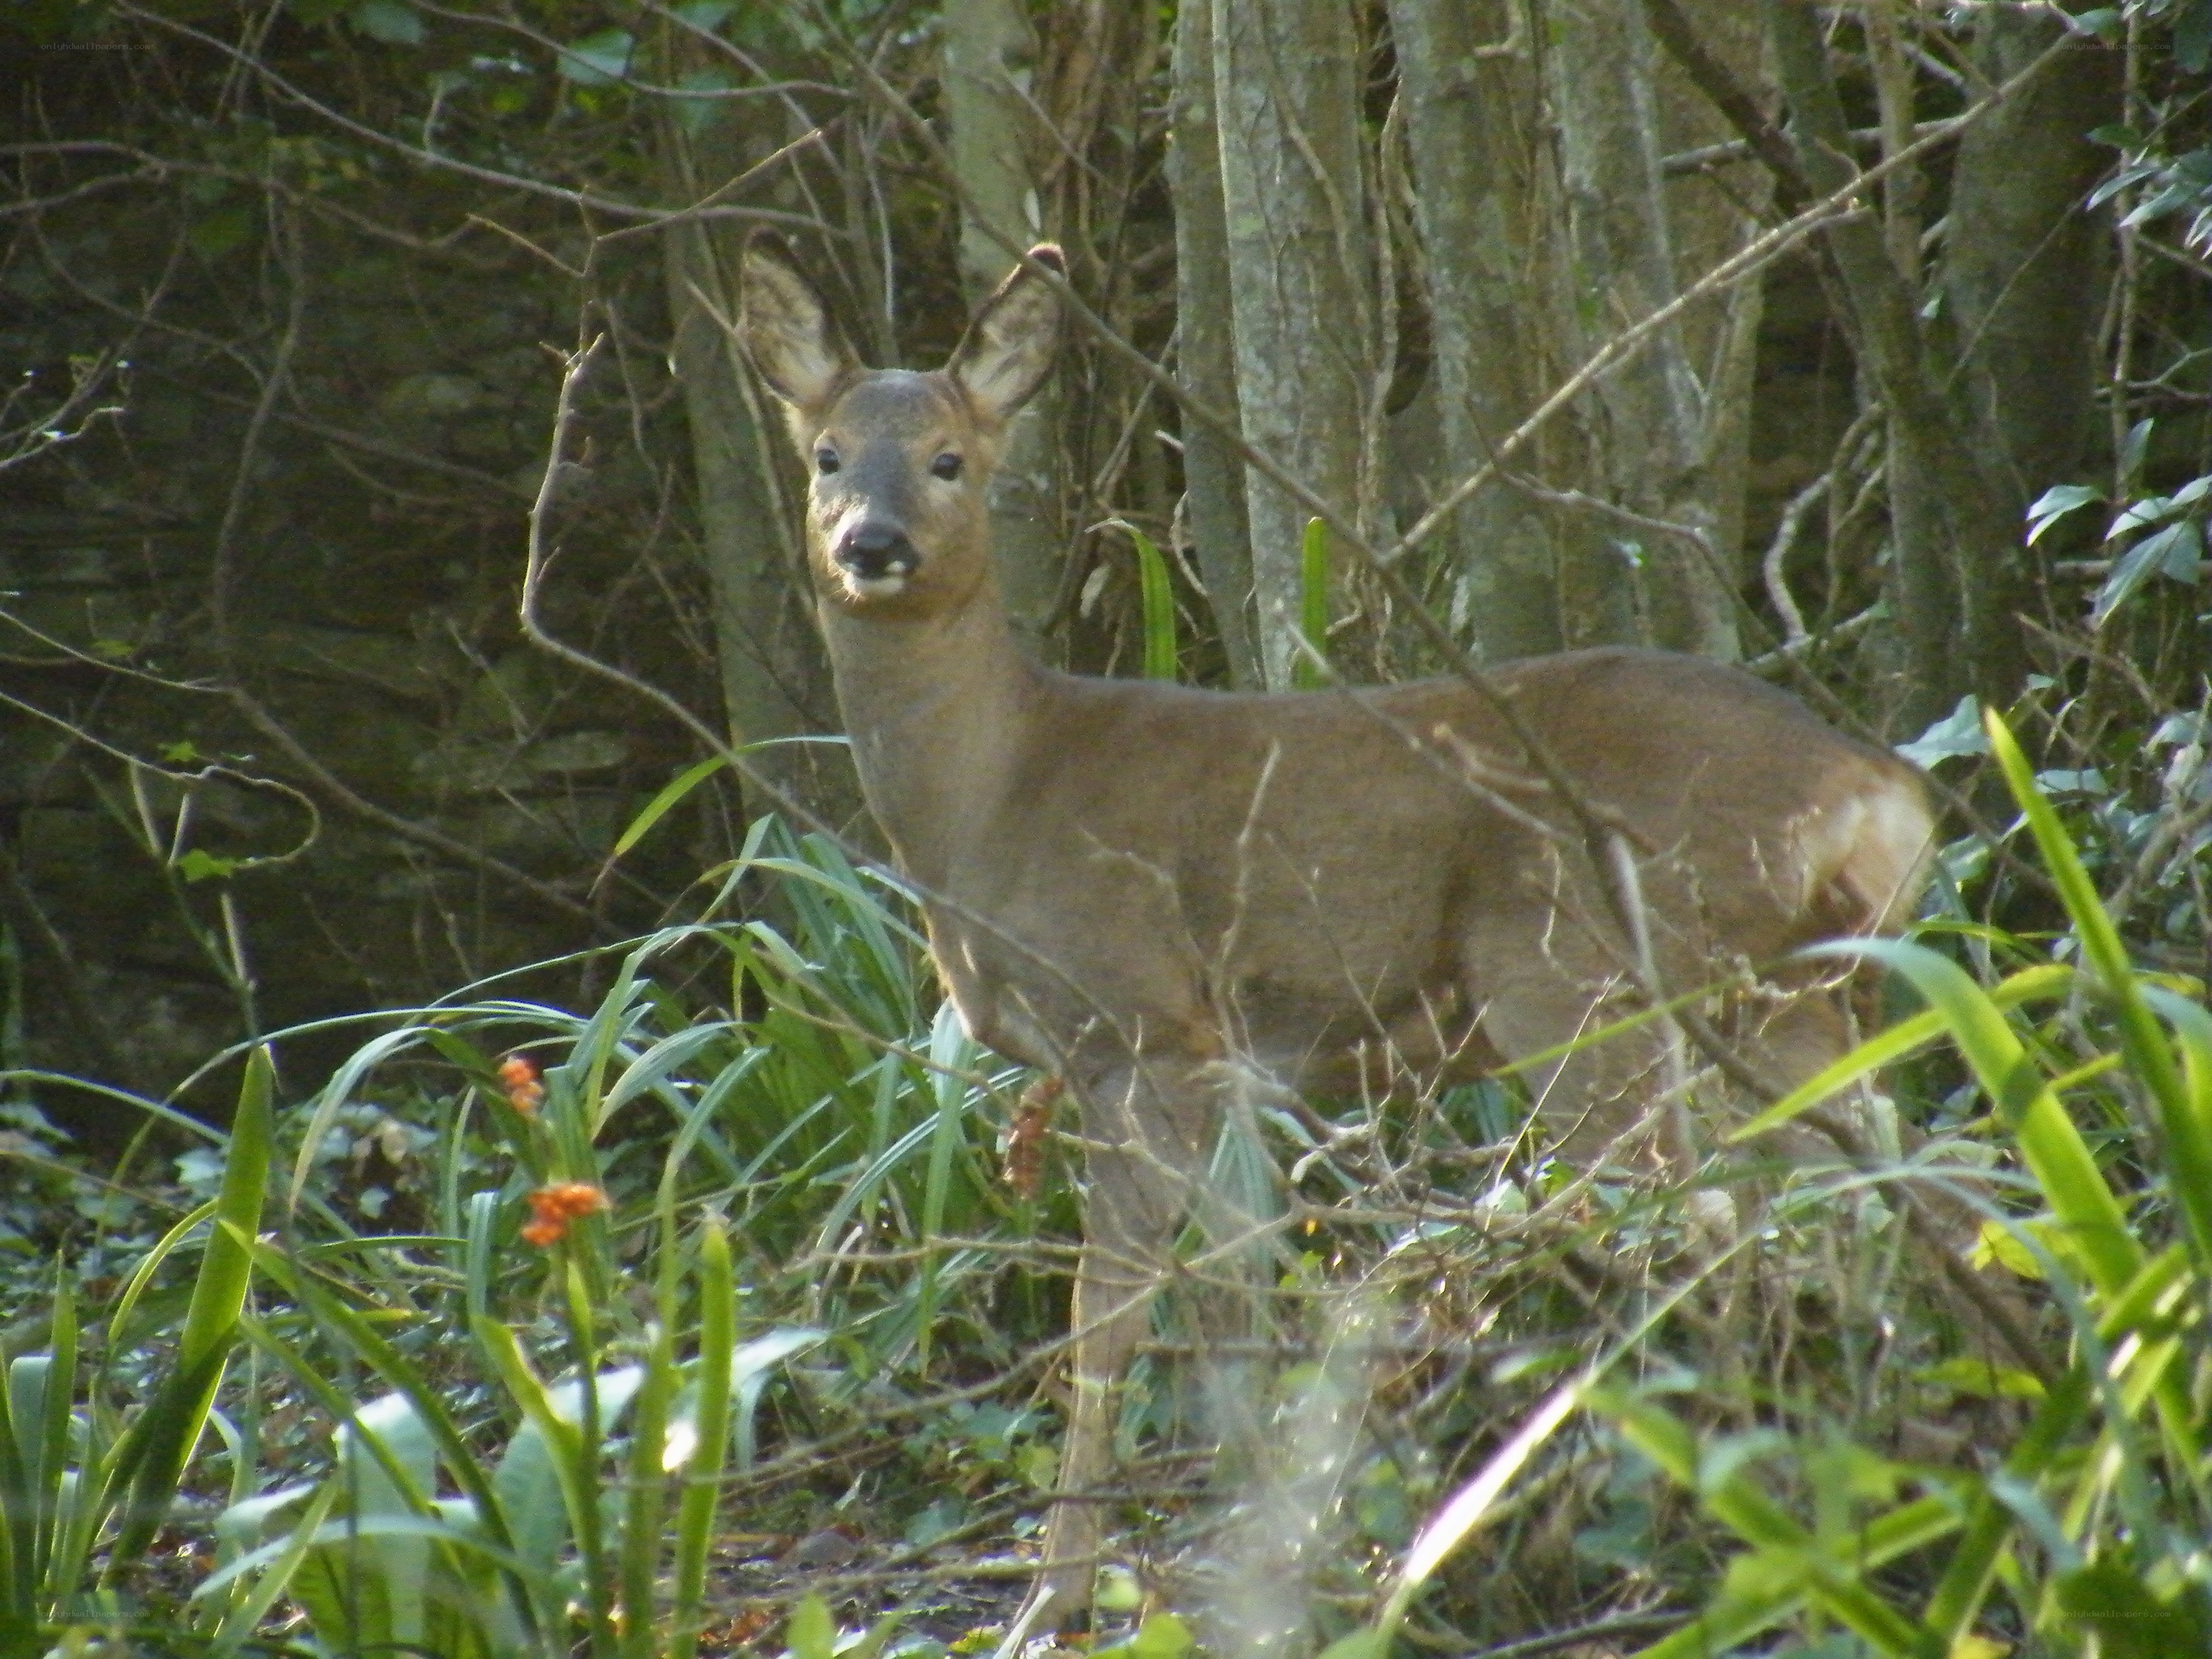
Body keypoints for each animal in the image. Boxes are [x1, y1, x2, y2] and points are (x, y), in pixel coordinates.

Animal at [735, 236, 1939, 1645]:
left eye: (947, 458)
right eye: (826, 453)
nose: (869, 544)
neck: (993, 799)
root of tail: (1879, 787)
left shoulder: (1140, 1025)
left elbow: (1115, 1315)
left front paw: (1065, 1597)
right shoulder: (1224, 1064)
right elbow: (1238, 1295)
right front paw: (1264, 1547)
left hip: (1576, 979)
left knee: (1702, 1211)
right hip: (1795, 995)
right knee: (1887, 1172)